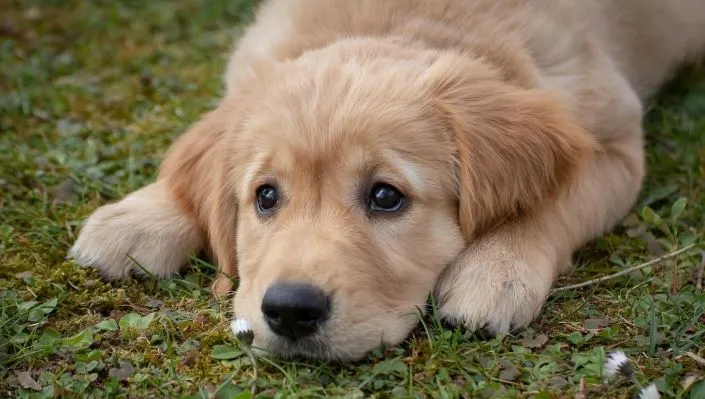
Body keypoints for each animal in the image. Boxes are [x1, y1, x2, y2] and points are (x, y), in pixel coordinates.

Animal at [69, 0, 704, 360]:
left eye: (385, 197)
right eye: (265, 196)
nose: (290, 311)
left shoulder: (615, 142)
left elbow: (555, 201)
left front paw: (496, 269)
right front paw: (140, 216)